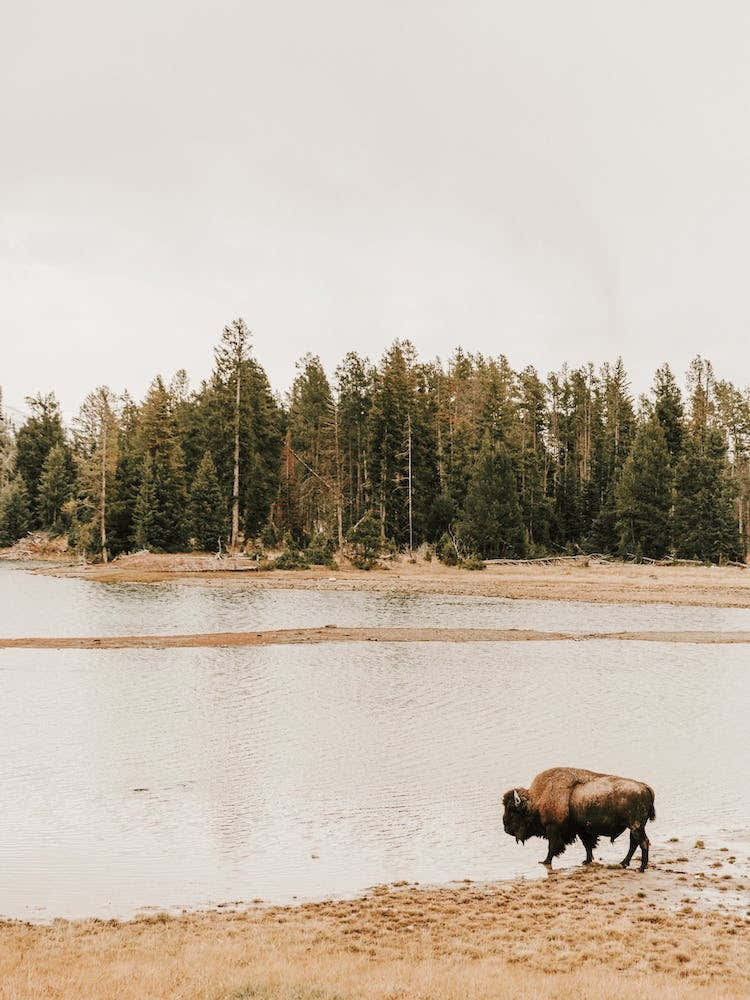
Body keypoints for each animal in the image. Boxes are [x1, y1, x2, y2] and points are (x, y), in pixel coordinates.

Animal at [502, 767, 655, 872]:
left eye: (512, 810)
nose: (506, 828)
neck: (538, 799)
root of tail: (644, 787)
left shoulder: (553, 830)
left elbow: (552, 847)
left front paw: (545, 861)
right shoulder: (582, 830)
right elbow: (588, 845)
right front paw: (587, 861)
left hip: (636, 826)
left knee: (643, 842)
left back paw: (640, 868)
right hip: (634, 827)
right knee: (634, 843)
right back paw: (624, 863)